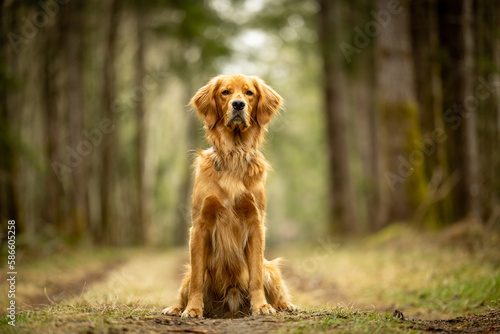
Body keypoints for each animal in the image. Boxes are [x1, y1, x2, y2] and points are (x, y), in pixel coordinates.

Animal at [162, 73, 294, 318]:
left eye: (249, 93)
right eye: (225, 92)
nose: (238, 104)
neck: (234, 154)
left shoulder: (255, 223)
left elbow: (255, 276)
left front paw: (261, 306)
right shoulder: (200, 226)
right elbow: (197, 280)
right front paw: (193, 309)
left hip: (270, 267)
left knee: (273, 283)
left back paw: (285, 305)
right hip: (188, 274)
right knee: (188, 284)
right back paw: (176, 308)